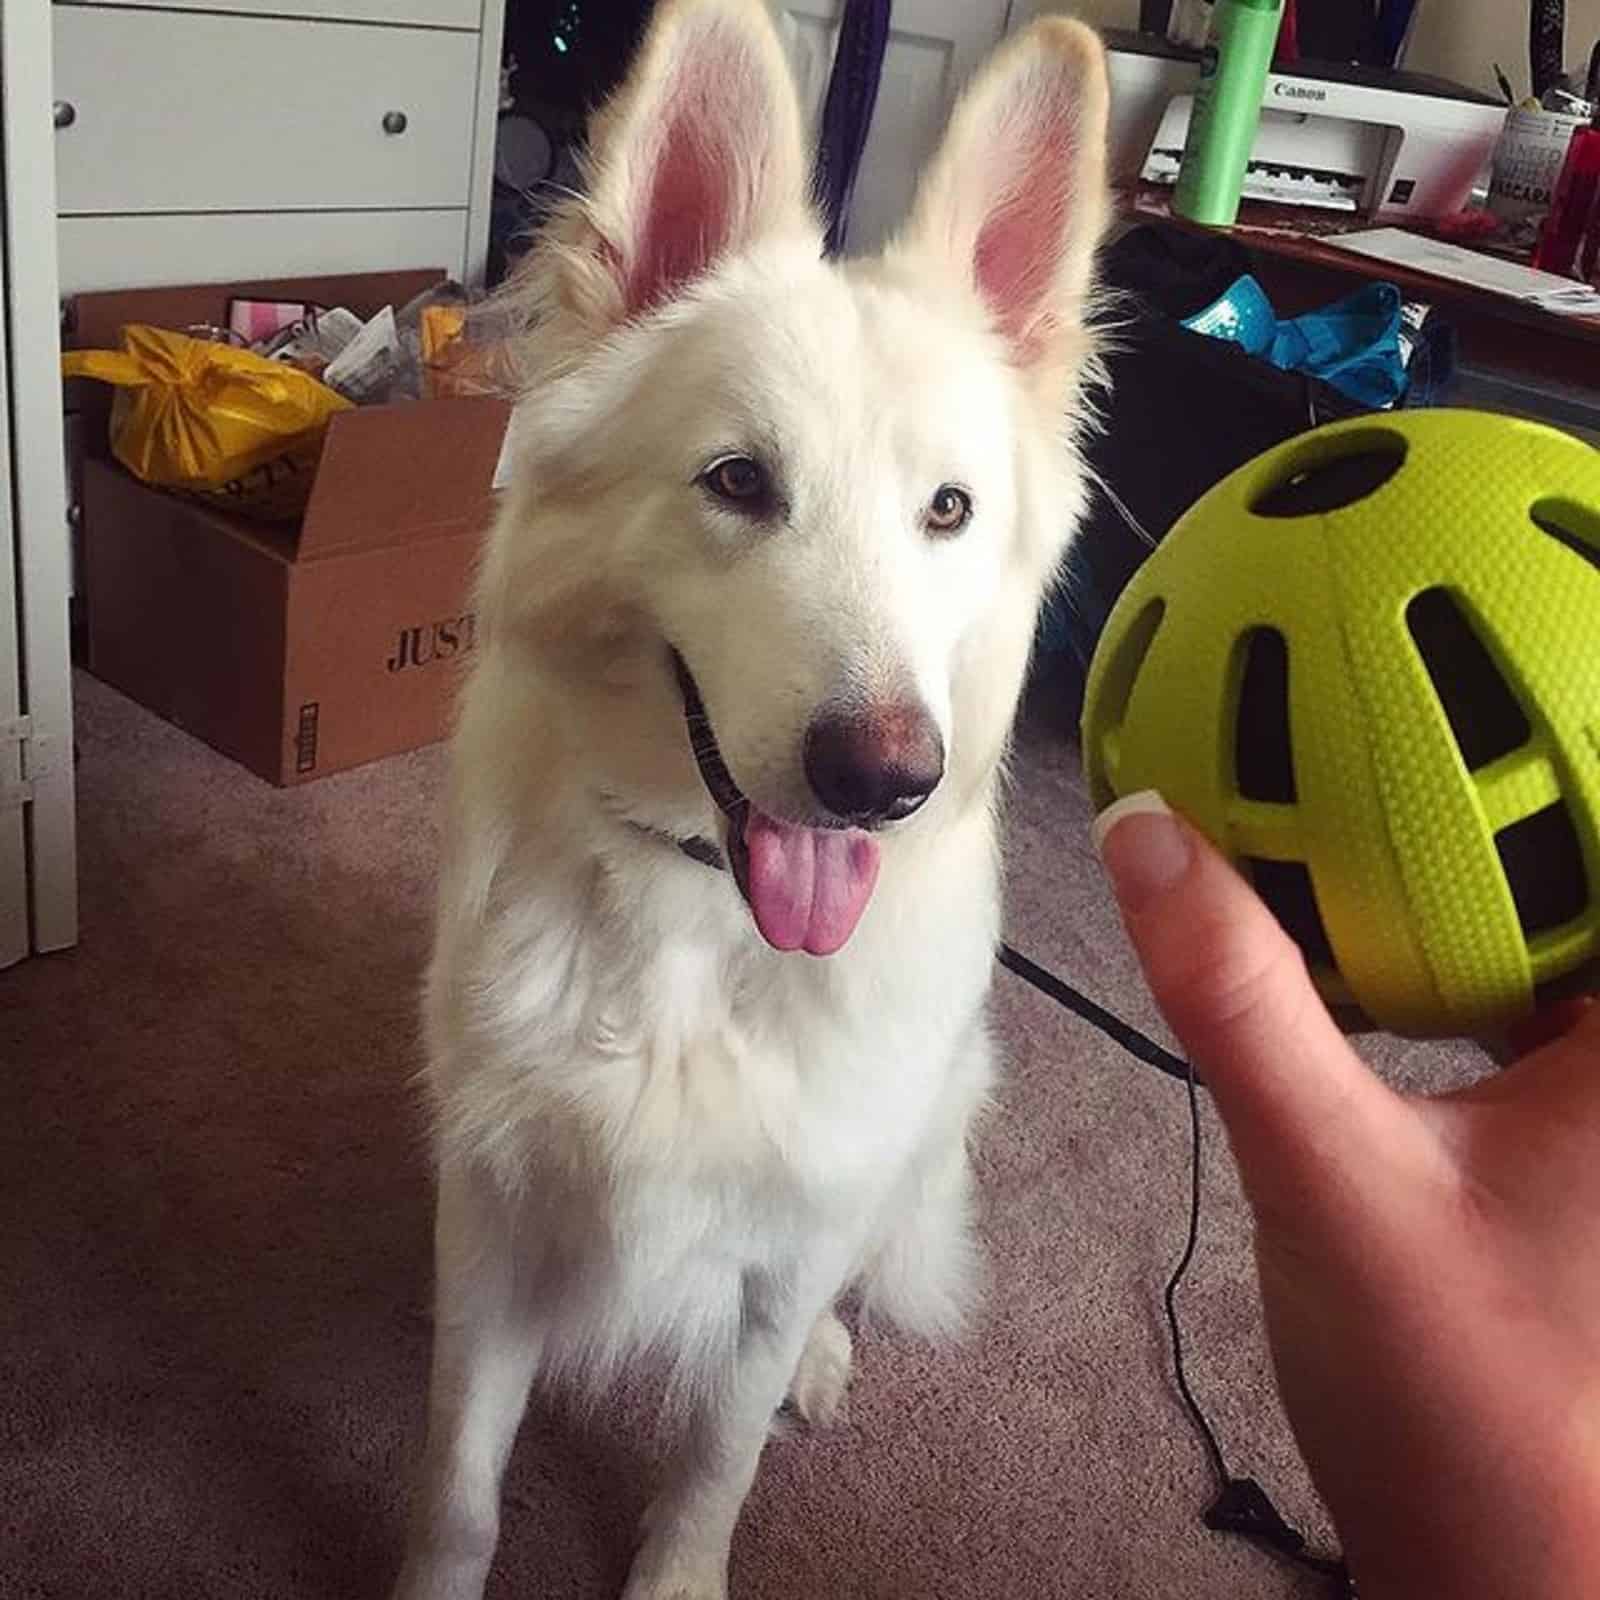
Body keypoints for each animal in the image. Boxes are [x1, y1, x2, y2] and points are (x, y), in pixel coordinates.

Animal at [392, 6, 1107, 1593]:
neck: (697, 923)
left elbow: (715, 1455)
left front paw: (683, 1560)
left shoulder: (786, 1241)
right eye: (739, 483)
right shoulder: (494, 1214)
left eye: (948, 511)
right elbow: (459, 1478)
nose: (887, 782)